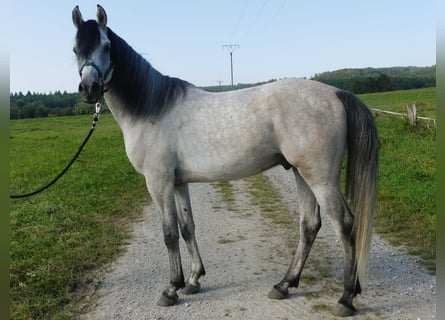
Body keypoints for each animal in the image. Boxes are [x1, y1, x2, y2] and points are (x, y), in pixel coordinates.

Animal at [71, 5, 376, 318]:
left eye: (106, 46)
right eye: (75, 49)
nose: (88, 88)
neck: (151, 108)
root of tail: (335, 93)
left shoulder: (158, 183)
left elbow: (169, 234)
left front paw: (171, 289)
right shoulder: (178, 183)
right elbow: (187, 228)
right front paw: (193, 280)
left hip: (321, 179)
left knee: (345, 224)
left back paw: (346, 297)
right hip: (302, 174)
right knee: (310, 225)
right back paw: (284, 285)